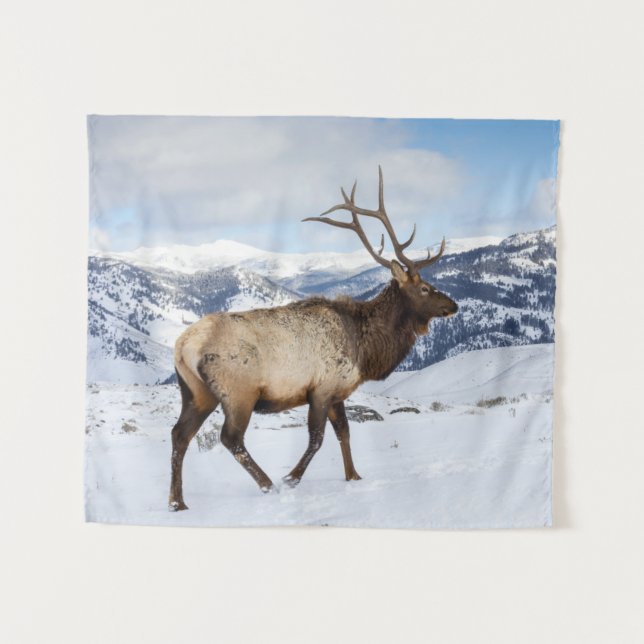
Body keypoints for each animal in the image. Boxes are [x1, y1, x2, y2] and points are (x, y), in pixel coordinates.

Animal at [169, 167, 458, 511]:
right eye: (425, 288)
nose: (453, 305)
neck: (366, 349)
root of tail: (183, 346)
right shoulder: (320, 389)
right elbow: (317, 439)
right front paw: (291, 478)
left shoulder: (337, 392)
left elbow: (344, 432)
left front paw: (353, 476)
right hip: (238, 392)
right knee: (230, 438)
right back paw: (268, 484)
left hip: (195, 392)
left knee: (179, 434)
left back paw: (177, 501)